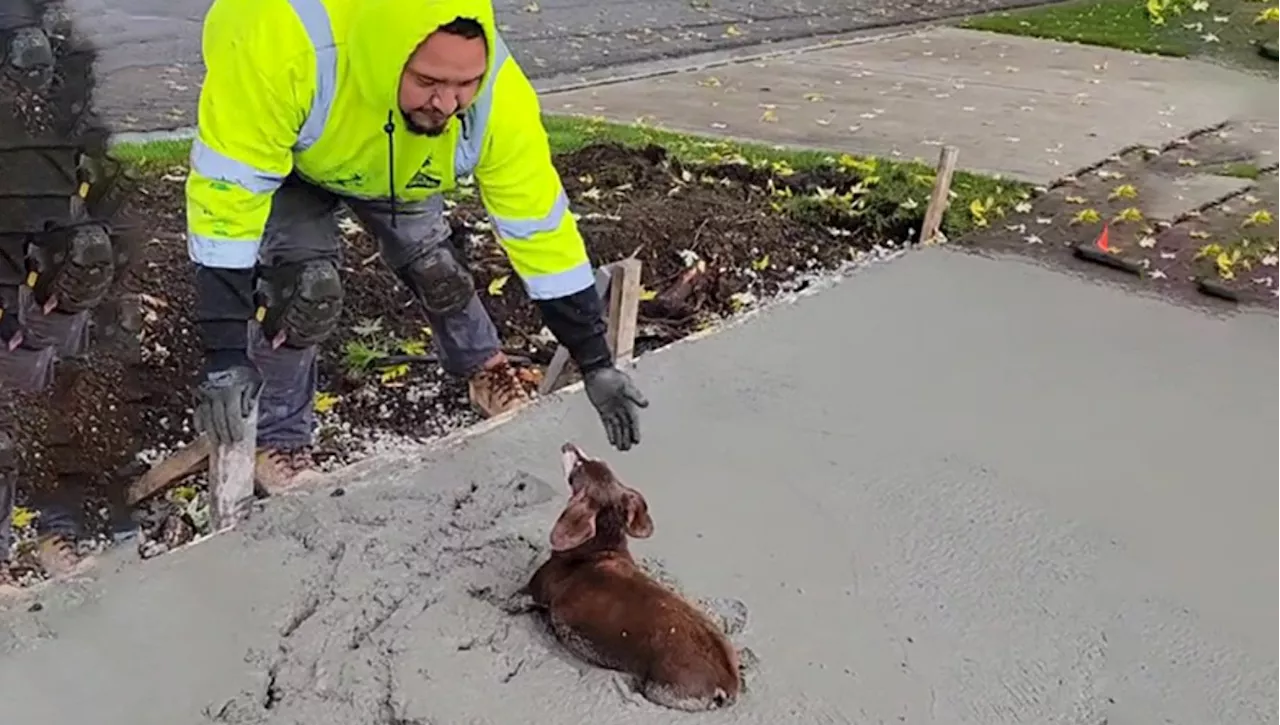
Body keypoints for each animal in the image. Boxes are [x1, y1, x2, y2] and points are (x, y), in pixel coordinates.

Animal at [519, 440, 742, 712]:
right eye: (597, 460)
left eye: (580, 465)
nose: (568, 444)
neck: (596, 547)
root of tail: (727, 683)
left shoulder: (532, 592)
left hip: (660, 690)